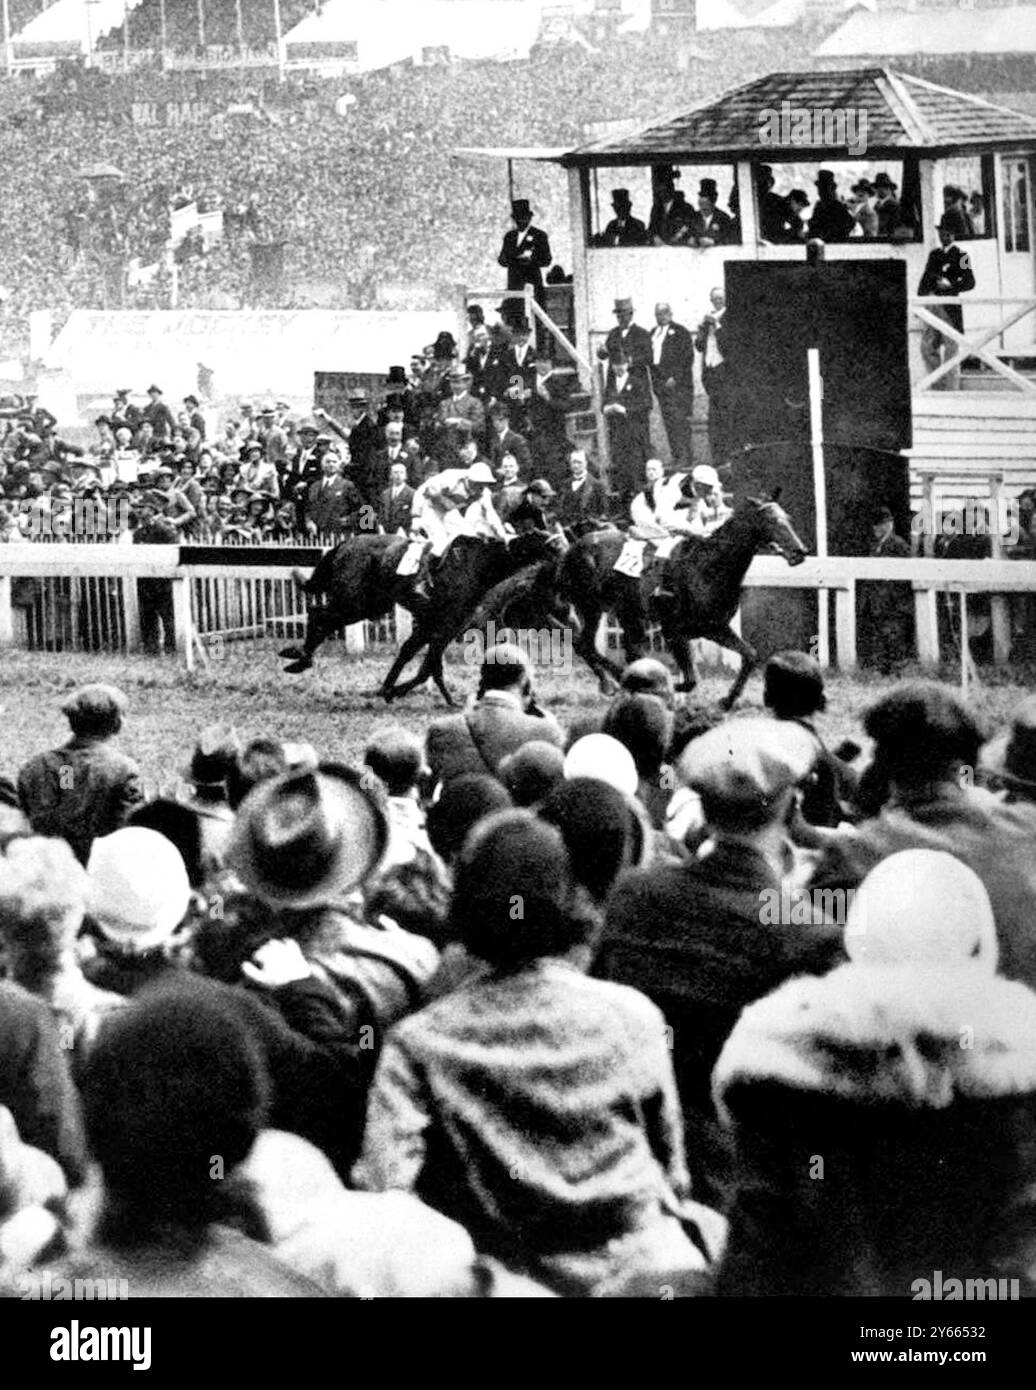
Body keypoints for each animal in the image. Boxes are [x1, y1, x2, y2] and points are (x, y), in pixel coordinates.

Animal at [279, 530, 559, 706]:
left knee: (322, 616)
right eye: (552, 546)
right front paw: (393, 690)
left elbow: (418, 658)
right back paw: (299, 658)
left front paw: (391, 689)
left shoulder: (443, 625)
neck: (477, 565)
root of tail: (344, 545)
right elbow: (427, 663)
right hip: (353, 603)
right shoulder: (441, 624)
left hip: (370, 604)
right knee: (320, 615)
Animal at [559, 494, 806, 706]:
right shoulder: (674, 630)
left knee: (612, 647)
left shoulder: (715, 627)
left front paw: (728, 699)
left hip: (625, 610)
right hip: (589, 605)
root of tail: (577, 545)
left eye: (788, 519)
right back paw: (619, 680)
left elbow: (750, 655)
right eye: (772, 521)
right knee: (586, 645)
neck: (708, 568)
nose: (800, 552)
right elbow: (690, 680)